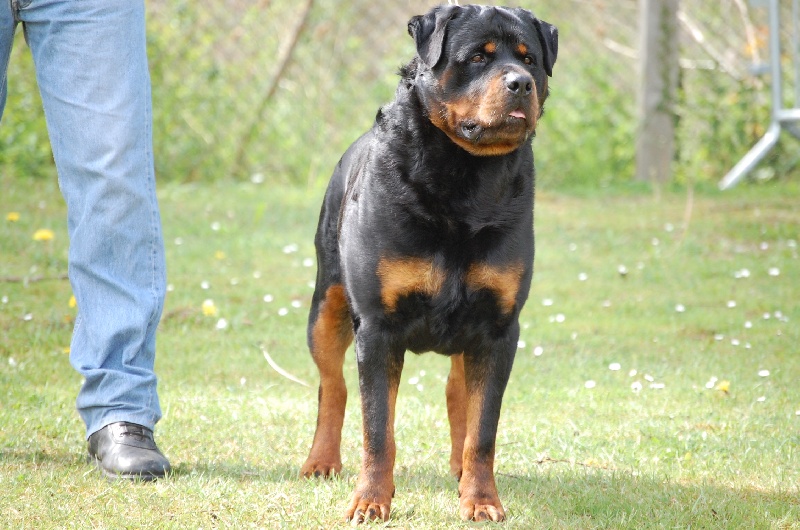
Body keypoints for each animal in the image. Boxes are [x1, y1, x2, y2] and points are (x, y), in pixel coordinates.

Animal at [300, 4, 557, 523]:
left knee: (458, 394)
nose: (520, 83)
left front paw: (481, 499)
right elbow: (377, 427)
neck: (467, 178)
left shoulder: (499, 328)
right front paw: (370, 500)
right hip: (326, 304)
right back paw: (321, 460)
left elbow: (483, 429)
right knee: (332, 385)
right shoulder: (378, 326)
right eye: (477, 57)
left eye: (530, 59)